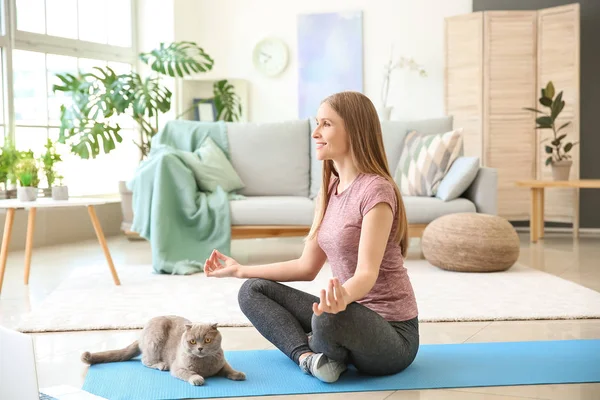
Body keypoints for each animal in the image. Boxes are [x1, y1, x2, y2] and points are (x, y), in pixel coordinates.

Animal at [79, 316, 244, 384]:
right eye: (192, 341)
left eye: (207, 340)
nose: (200, 348)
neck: (205, 365)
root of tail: (142, 333)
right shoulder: (178, 368)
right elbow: (188, 373)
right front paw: (197, 378)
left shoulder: (221, 363)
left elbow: (228, 369)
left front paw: (238, 374)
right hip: (155, 340)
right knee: (145, 361)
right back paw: (161, 365)